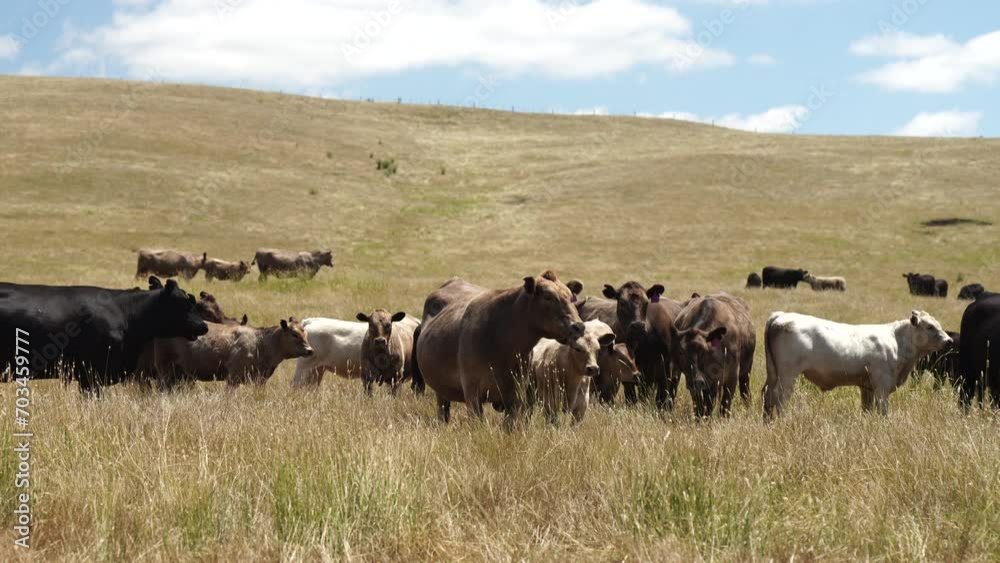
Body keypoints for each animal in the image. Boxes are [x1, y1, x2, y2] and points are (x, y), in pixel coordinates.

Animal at [155, 318, 312, 388]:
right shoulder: (233, 377)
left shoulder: (260, 379)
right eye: (294, 334)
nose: (310, 350)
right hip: (165, 369)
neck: (261, 343)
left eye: (305, 333)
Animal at [414, 271, 585, 428]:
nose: (579, 326)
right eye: (548, 297)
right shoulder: (472, 393)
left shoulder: (516, 397)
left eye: (572, 298)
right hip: (441, 393)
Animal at [763, 310, 952, 418]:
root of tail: (781, 316)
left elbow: (867, 409)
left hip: (772, 373)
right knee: (780, 398)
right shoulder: (882, 385)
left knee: (767, 395)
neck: (897, 341)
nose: (949, 341)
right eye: (929, 326)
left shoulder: (867, 386)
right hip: (788, 375)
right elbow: (883, 411)